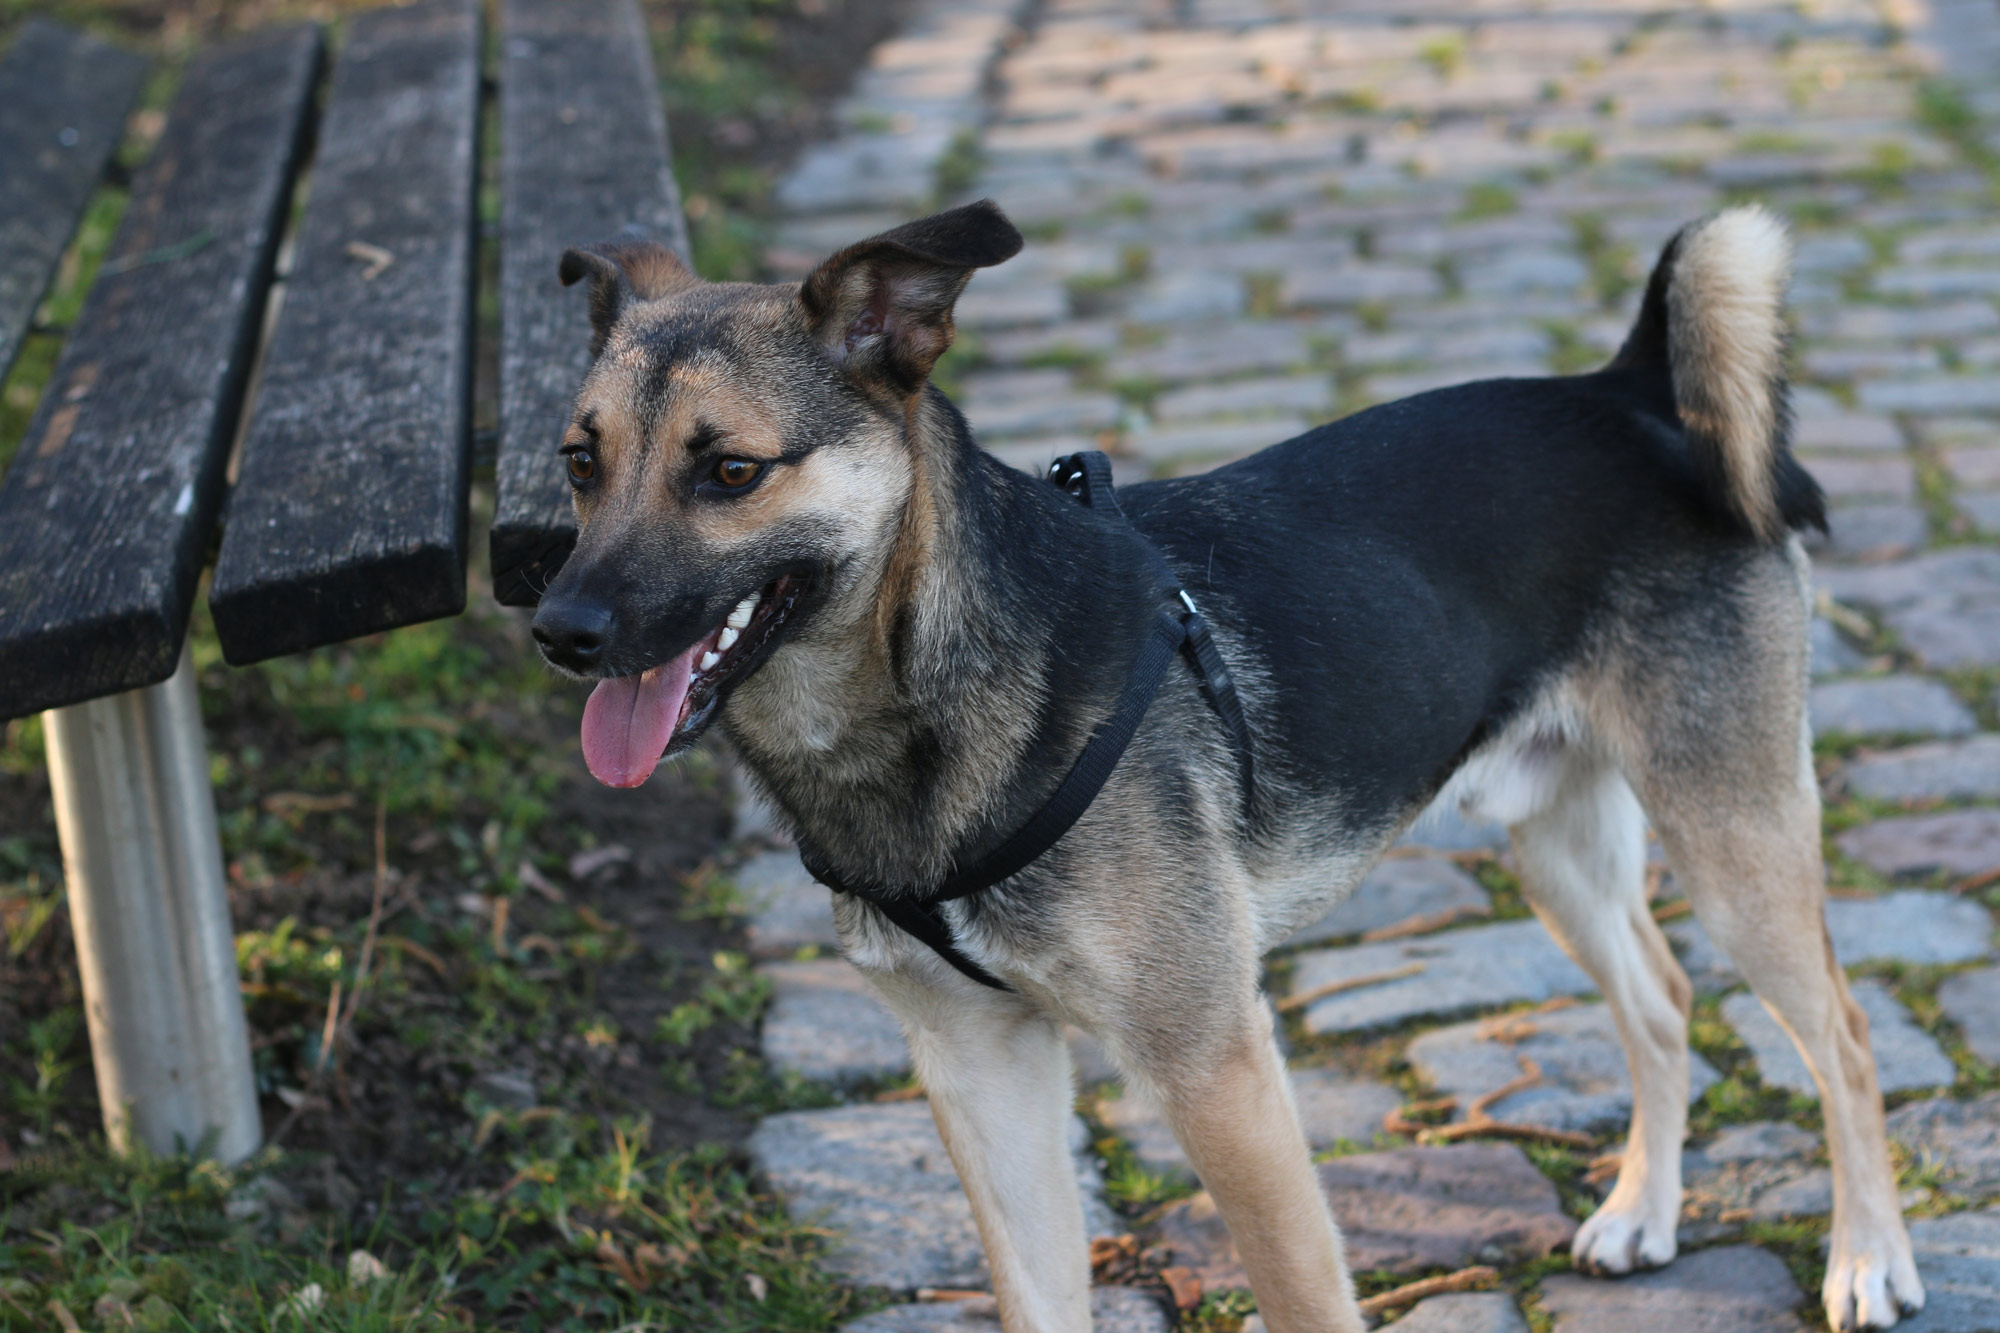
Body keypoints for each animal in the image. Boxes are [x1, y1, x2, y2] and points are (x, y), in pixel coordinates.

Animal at [528, 200, 1920, 1328]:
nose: (560, 631)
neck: (922, 692)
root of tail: (1630, 392)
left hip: (1732, 834)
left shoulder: (1215, 1062)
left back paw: (1865, 1261)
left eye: (729, 470)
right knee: (1662, 999)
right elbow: (1036, 1296)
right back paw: (1643, 1210)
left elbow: (1302, 1294)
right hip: (1557, 845)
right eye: (579, 464)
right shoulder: (978, 1068)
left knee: (1841, 1039)